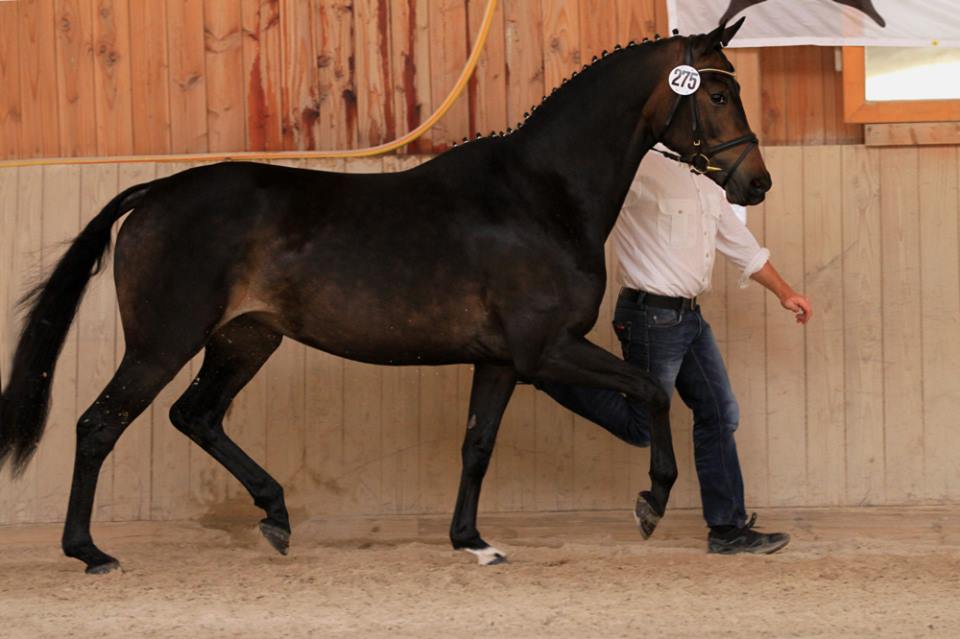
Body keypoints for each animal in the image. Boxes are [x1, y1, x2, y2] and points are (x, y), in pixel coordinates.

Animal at [0, 20, 768, 572]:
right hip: (164, 343)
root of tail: (156, 191)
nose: (755, 183)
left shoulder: (499, 361)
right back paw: (90, 551)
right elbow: (652, 389)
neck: (538, 195)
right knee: (99, 425)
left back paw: (275, 515)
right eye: (718, 94)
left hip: (245, 338)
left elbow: (477, 444)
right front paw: (652, 499)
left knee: (197, 416)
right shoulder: (545, 350)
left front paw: (472, 541)